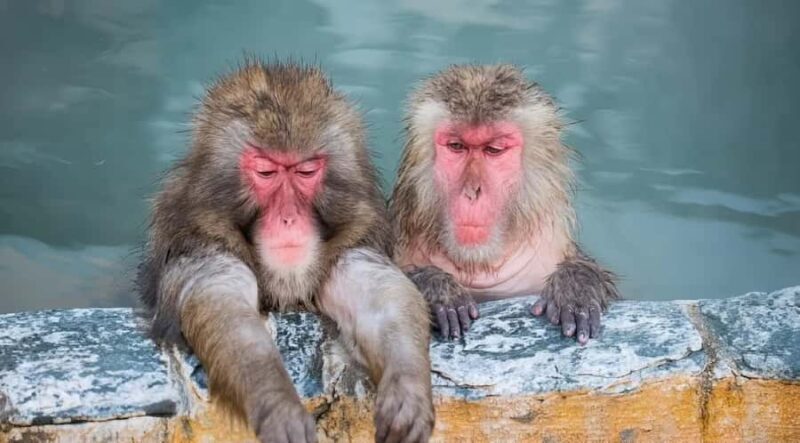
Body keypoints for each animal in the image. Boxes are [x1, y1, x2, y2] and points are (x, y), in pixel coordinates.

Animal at [137, 60, 434, 443]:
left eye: (306, 171)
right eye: (266, 171)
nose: (288, 217)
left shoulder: (351, 245)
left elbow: (380, 296)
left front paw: (408, 391)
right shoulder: (201, 246)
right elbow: (223, 306)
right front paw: (278, 405)